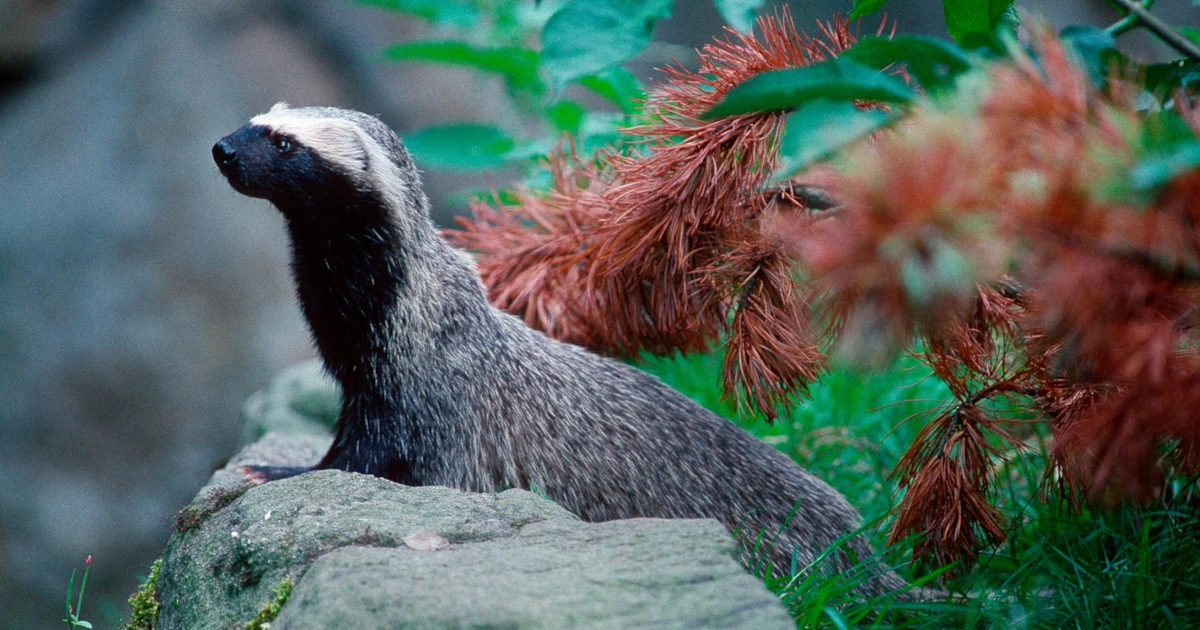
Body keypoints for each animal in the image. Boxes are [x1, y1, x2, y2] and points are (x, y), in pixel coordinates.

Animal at [212, 103, 911, 596]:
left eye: (285, 143)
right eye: (258, 120)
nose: (222, 149)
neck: (398, 308)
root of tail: (863, 555)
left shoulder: (420, 396)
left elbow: (367, 457)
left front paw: (275, 470)